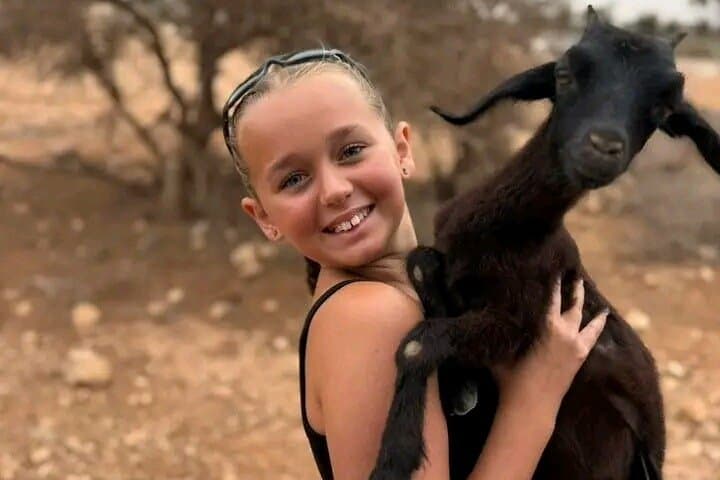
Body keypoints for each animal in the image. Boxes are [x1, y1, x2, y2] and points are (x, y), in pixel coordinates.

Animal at [370, 7, 720, 480]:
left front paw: (393, 459)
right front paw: (461, 386)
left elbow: (417, 343)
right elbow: (421, 262)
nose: (602, 147)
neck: (507, 234)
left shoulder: (518, 323)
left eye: (663, 107)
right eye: (564, 74)